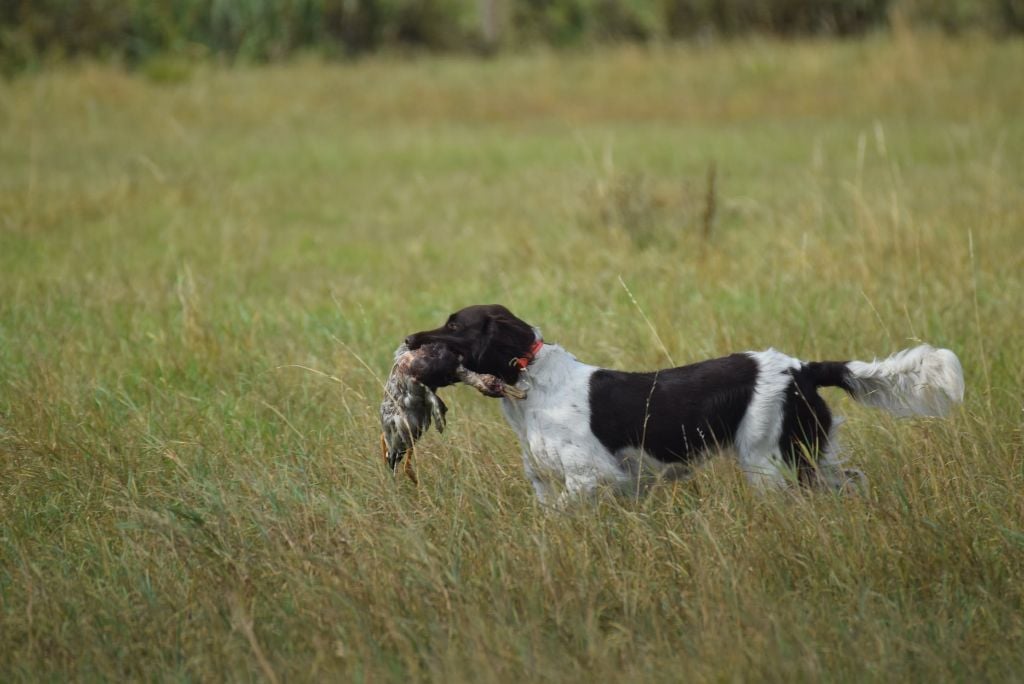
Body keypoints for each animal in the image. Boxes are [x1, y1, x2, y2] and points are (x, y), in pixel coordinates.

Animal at [405, 304, 964, 505]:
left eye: (455, 325)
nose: (409, 339)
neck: (534, 386)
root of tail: (803, 368)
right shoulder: (549, 482)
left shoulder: (593, 477)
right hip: (807, 456)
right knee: (850, 481)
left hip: (770, 462)